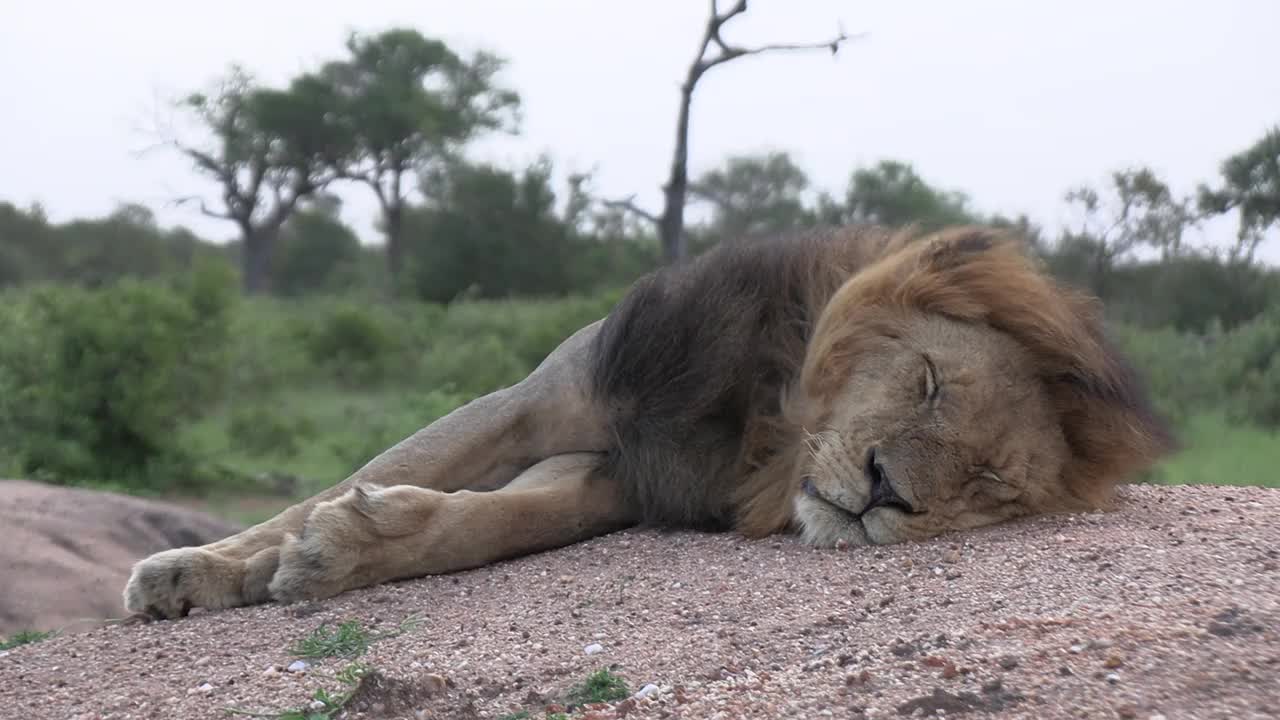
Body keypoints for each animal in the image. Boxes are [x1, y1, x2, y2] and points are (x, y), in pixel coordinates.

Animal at [124, 224, 1172, 617]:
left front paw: (337, 553)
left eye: (987, 486)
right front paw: (197, 569)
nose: (888, 494)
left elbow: (489, 522)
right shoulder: (542, 404)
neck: (764, 424)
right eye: (927, 385)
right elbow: (344, 480)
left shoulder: (621, 477)